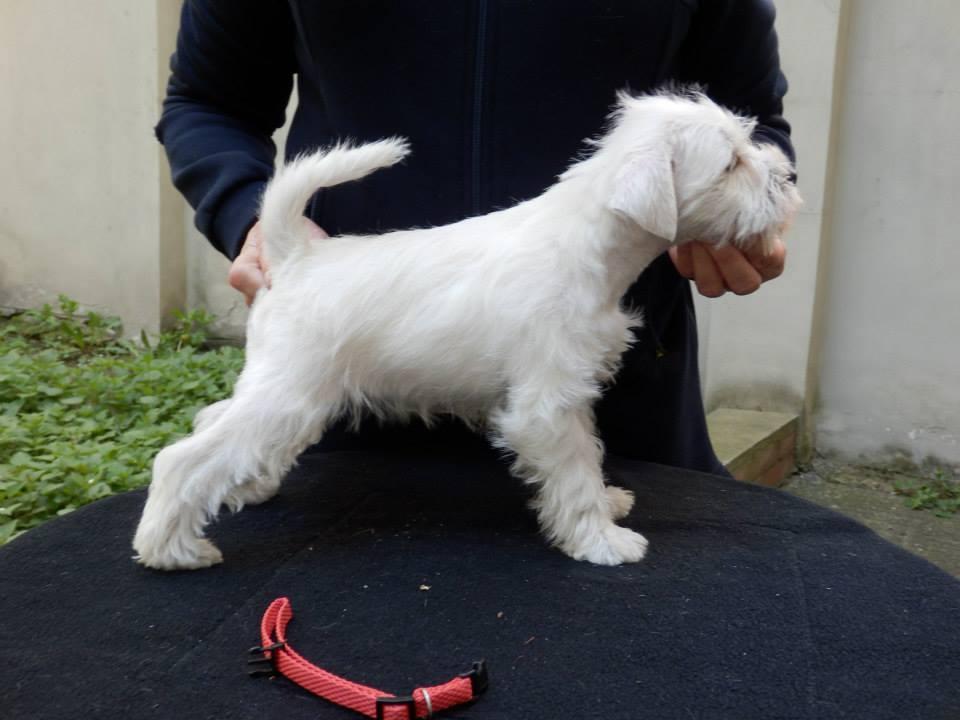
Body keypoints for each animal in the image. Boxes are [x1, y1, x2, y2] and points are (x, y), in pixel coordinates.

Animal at [133, 91, 800, 570]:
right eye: (732, 163)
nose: (788, 178)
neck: (591, 242)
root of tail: (297, 255)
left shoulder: (569, 395)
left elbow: (589, 452)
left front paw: (608, 505)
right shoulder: (545, 403)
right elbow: (574, 470)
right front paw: (602, 540)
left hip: (284, 391)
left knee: (215, 422)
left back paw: (248, 486)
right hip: (290, 393)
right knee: (181, 457)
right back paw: (172, 549)